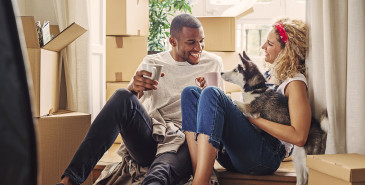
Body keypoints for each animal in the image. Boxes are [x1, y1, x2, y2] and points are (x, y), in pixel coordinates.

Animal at [220, 50, 328, 185]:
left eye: (235, 70)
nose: (221, 72)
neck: (255, 88)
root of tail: (320, 129)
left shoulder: (251, 109)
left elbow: (234, 101)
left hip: (307, 161)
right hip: (298, 160)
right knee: (302, 179)